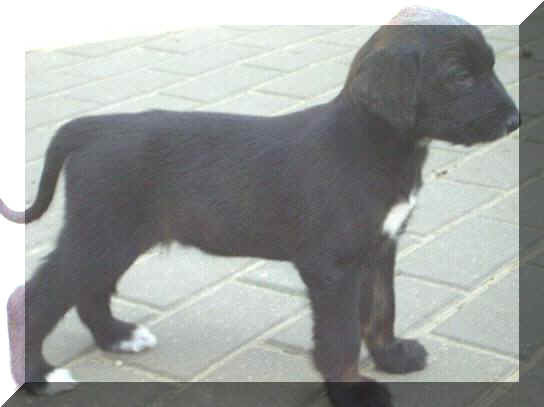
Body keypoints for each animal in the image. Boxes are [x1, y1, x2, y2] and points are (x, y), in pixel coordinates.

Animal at [1, 9, 519, 407]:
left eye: (491, 66)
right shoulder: (333, 267)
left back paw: (117, 337)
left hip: (115, 236)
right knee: (33, 299)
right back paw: (41, 376)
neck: (373, 144)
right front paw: (353, 389)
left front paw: (392, 357)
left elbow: (381, 309)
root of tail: (92, 128)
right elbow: (341, 334)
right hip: (101, 234)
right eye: (459, 76)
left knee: (88, 292)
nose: (516, 120)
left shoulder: (381, 248)